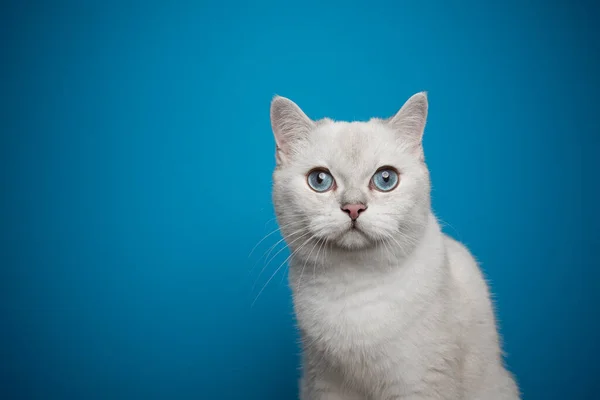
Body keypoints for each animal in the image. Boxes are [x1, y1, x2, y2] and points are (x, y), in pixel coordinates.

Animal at [270, 93, 516, 400]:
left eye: (385, 179)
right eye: (320, 180)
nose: (353, 208)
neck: (353, 285)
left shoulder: (421, 384)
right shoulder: (325, 385)